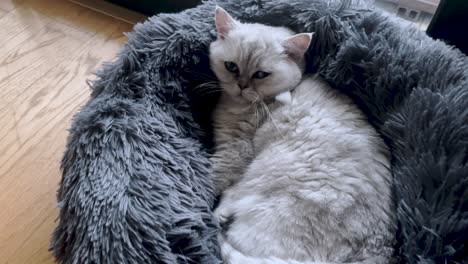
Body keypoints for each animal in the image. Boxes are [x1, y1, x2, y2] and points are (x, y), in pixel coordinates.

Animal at [208, 6, 394, 264]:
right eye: (231, 67)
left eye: (261, 75)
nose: (242, 86)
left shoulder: (235, 152)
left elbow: (212, 178)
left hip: (263, 181)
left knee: (232, 205)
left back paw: (219, 217)